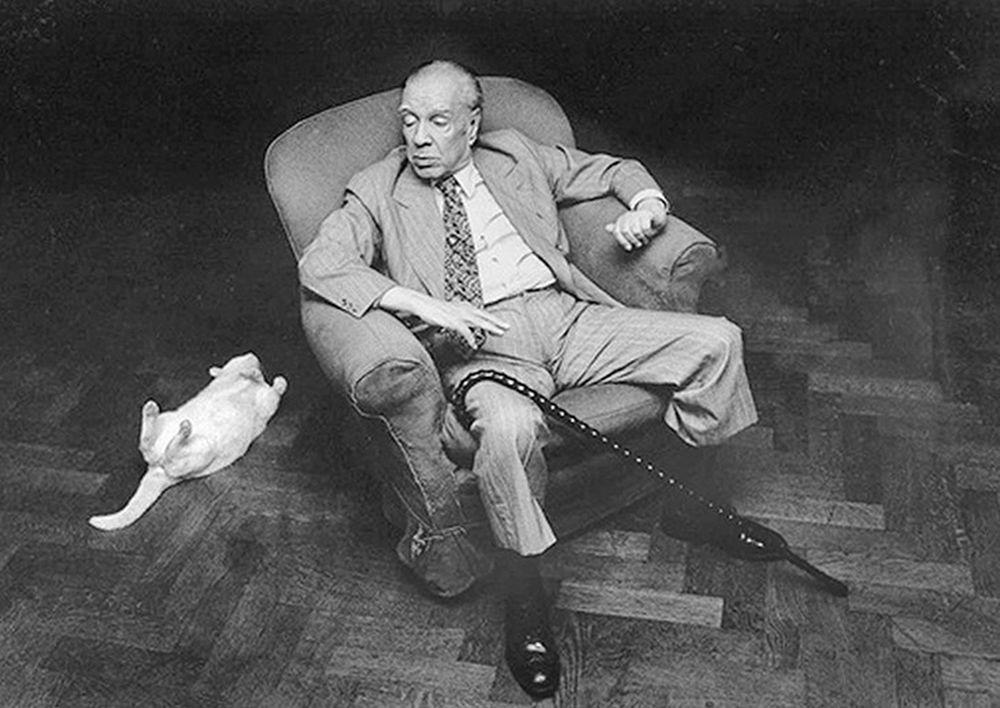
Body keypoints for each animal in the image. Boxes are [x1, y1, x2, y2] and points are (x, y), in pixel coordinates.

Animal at [88, 352, 288, 528]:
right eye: (239, 356)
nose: (253, 355)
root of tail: (155, 470)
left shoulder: (265, 400)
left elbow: (270, 385)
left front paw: (259, 376)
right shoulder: (266, 397)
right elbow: (271, 384)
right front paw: (259, 375)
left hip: (199, 450)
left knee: (155, 452)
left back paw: (164, 421)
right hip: (183, 433)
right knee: (156, 452)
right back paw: (166, 421)